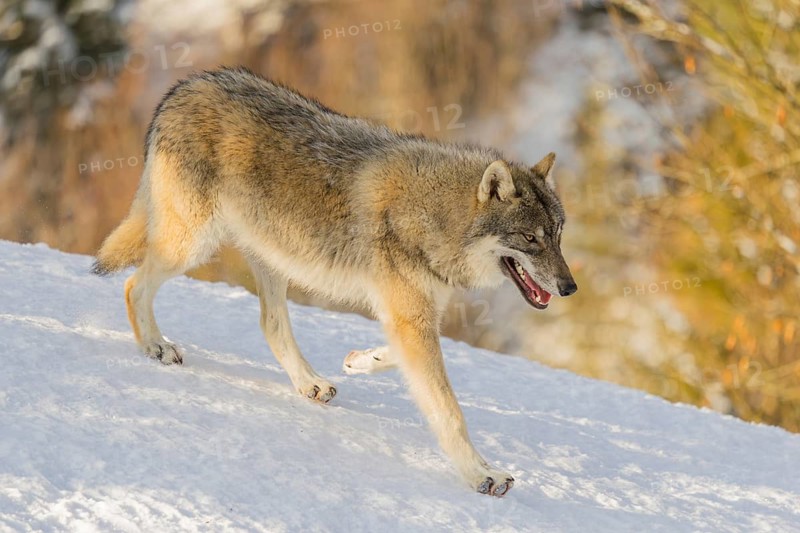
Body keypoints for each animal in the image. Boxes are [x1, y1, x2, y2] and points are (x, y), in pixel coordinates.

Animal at [93, 67, 577, 497]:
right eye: (531, 239)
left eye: (557, 235)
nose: (570, 288)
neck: (435, 217)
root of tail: (186, 85)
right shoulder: (411, 317)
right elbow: (450, 411)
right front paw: (482, 474)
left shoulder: (412, 316)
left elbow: (398, 358)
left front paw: (361, 359)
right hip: (192, 245)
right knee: (133, 286)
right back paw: (156, 346)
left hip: (271, 256)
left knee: (270, 323)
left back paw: (308, 383)